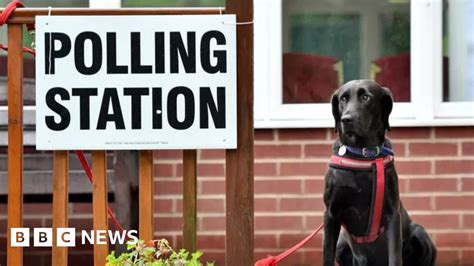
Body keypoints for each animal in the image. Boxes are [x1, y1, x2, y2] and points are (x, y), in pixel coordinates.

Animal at [322, 80, 436, 264]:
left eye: (366, 97)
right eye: (343, 99)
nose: (346, 119)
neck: (362, 155)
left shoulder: (393, 215)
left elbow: (395, 257)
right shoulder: (331, 213)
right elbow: (327, 255)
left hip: (421, 233)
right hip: (342, 245)